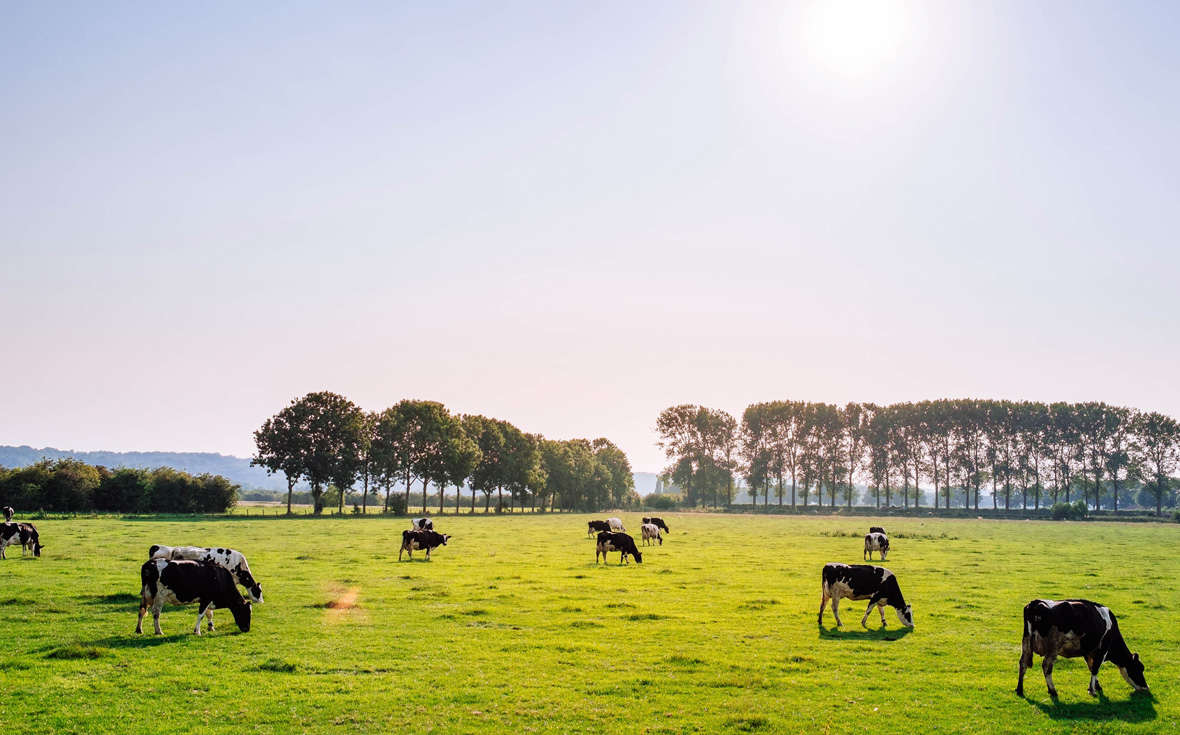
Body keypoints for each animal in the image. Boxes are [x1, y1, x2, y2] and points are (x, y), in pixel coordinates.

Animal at [1014, 601, 1151, 698]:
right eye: (1139, 668)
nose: (1146, 687)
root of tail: (1036, 603)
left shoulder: (1088, 651)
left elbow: (1091, 667)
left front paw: (1095, 686)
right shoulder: (1102, 649)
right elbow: (1095, 668)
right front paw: (1093, 691)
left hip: (1026, 642)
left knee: (1023, 663)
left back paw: (1020, 689)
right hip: (1053, 646)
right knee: (1047, 666)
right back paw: (1053, 691)